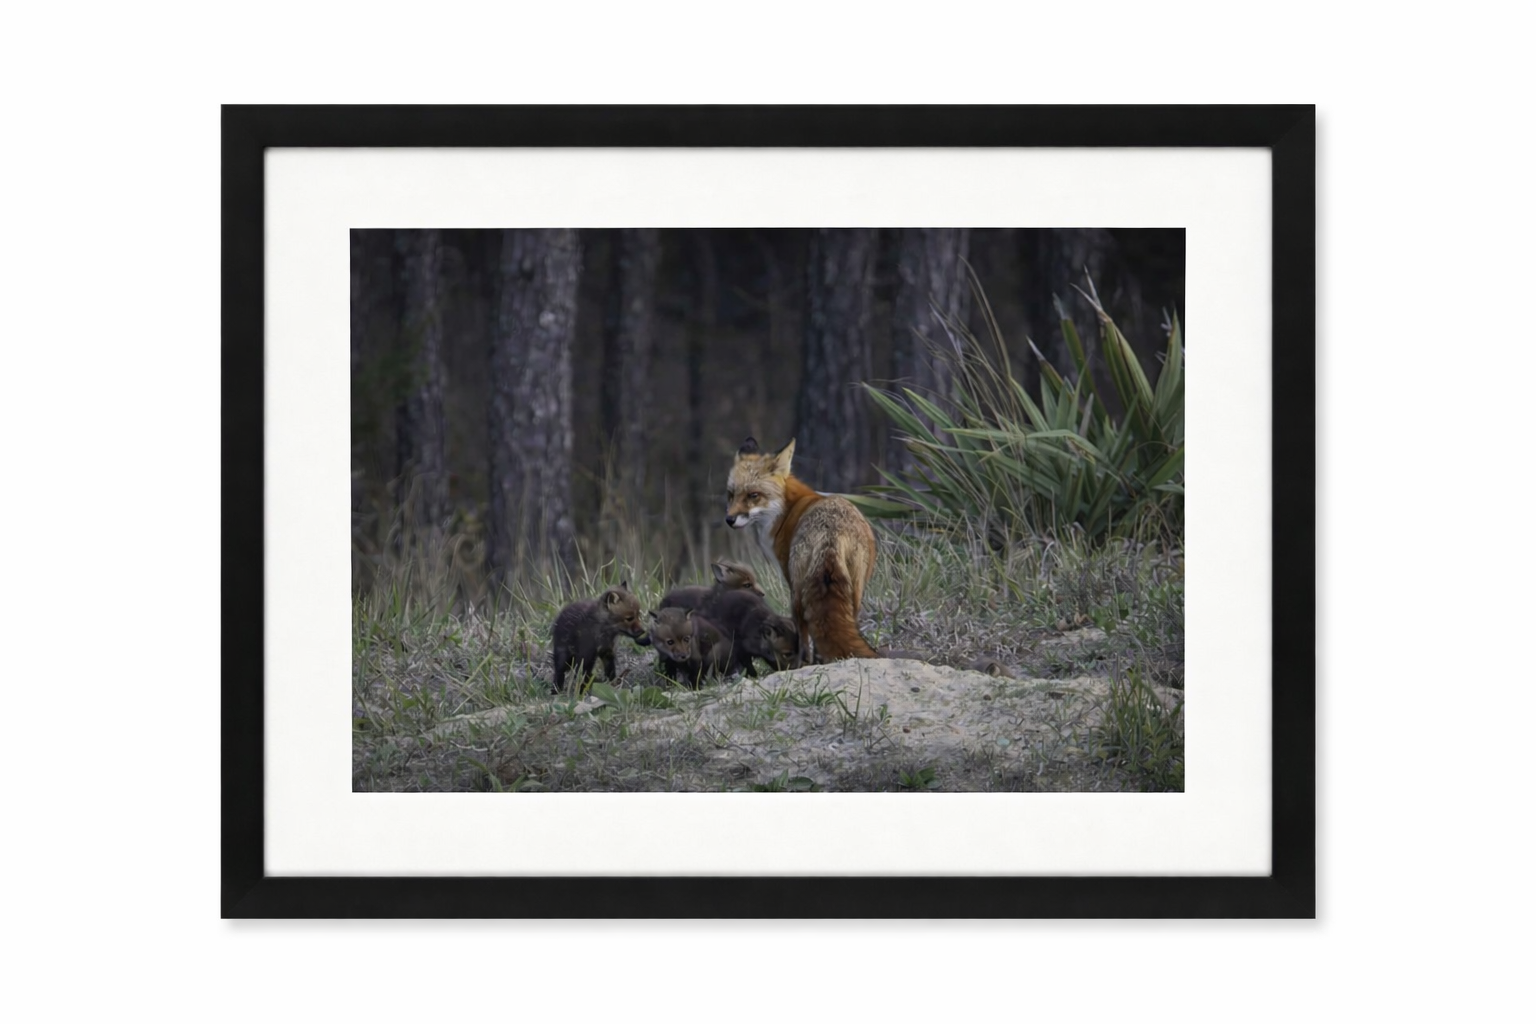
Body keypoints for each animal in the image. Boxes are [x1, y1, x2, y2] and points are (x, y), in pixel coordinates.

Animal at [724, 436, 879, 665]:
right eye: (731, 495)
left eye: (754, 495)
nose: (729, 520)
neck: (786, 510)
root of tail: (831, 533)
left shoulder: (788, 577)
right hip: (857, 587)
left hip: (797, 591)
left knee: (804, 629)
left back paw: (803, 662)